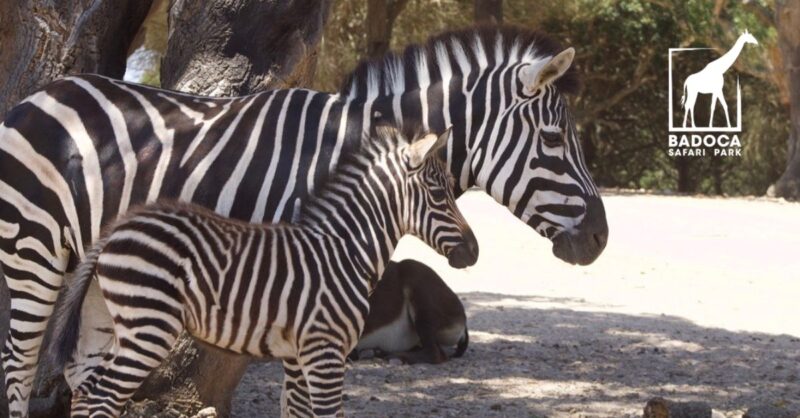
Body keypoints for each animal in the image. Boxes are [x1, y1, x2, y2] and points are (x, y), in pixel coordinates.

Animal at [43, 127, 476, 418]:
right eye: (439, 194)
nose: (473, 253)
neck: (344, 251)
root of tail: (117, 227)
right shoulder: (325, 351)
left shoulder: (300, 356)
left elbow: (297, 412)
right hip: (148, 327)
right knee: (103, 396)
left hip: (111, 320)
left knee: (85, 388)